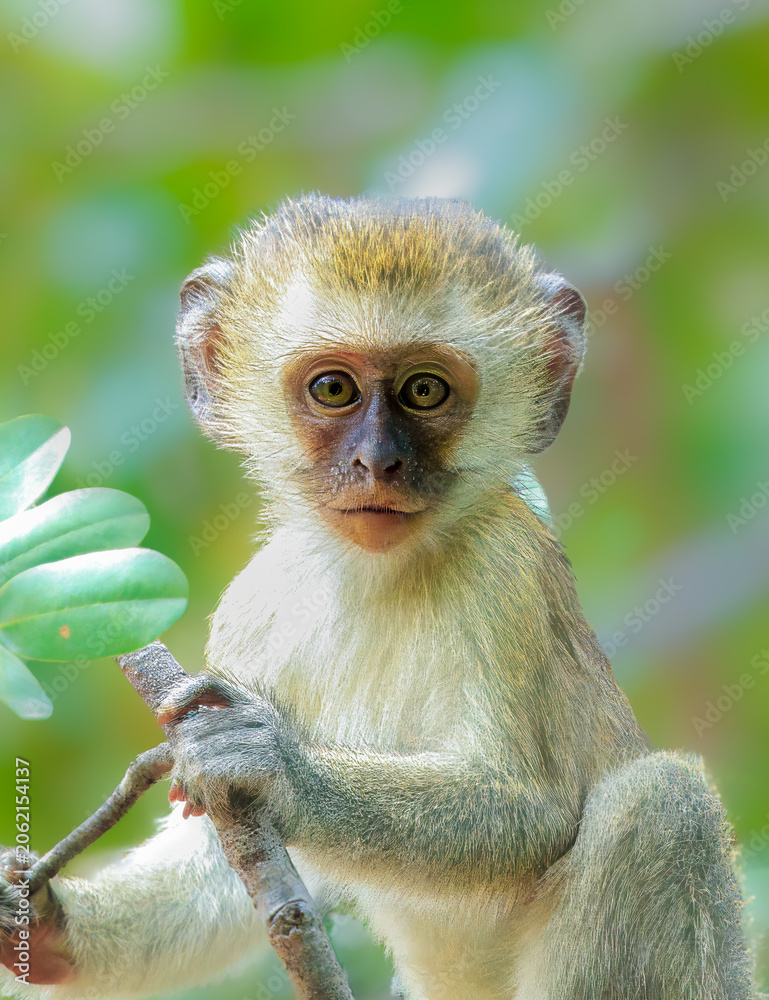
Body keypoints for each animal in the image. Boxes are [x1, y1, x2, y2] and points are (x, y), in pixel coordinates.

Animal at [0, 193, 758, 1000]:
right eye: (333, 389)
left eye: (424, 390)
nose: (378, 463)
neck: (377, 575)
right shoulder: (251, 611)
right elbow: (231, 862)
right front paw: (47, 928)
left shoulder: (508, 568)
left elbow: (534, 812)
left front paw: (275, 767)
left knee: (661, 803)